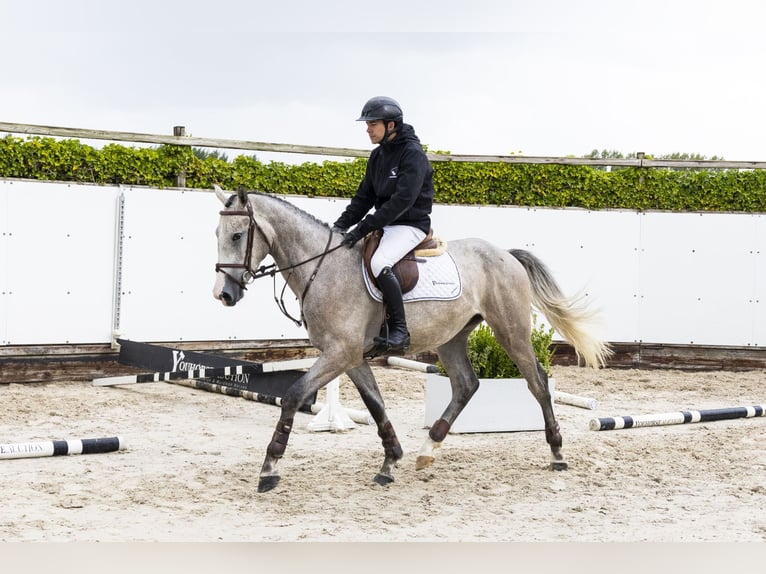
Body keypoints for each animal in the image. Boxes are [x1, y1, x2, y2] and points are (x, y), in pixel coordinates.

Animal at [212, 185, 611, 493]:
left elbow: (294, 395)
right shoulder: (349, 356)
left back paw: (557, 453)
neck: (322, 268)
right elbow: (375, 405)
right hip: (451, 338)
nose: (224, 295)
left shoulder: (340, 353)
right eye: (217, 235)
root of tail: (505, 255)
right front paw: (390, 462)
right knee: (466, 385)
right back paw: (428, 448)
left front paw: (269, 468)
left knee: (538, 383)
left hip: (510, 331)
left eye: (237, 235)